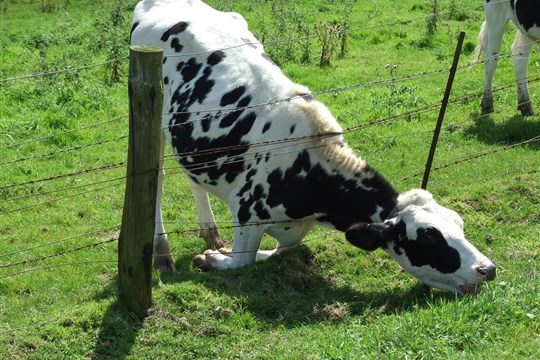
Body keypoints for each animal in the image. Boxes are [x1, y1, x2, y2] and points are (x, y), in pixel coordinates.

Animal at [133, 0, 496, 292]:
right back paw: (163, 252)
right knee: (157, 179)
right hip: (154, 120)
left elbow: (287, 246)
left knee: (194, 177)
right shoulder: (246, 213)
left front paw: (223, 249)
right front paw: (212, 258)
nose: (487, 269)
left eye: (459, 224)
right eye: (429, 238)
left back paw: (209, 232)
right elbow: (242, 261)